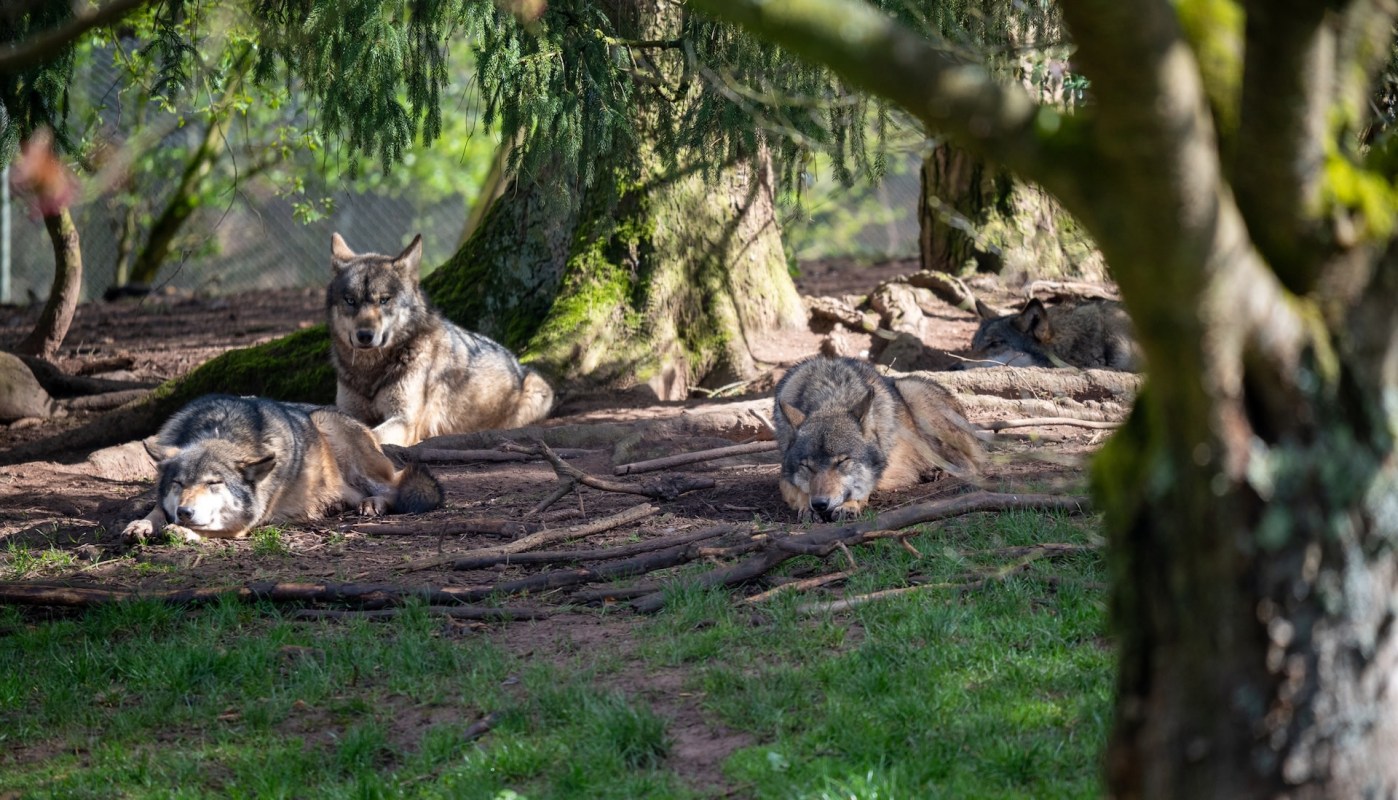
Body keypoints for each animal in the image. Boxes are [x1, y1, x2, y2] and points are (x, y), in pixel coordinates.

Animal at [122, 395, 443, 542]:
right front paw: (141, 524)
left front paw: (181, 530)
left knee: (395, 488)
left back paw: (373, 503)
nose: (185, 512)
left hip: (331, 426)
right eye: (178, 484)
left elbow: (211, 529)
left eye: (214, 483)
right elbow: (156, 509)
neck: (219, 428)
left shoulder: (245, 524)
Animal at [327, 233, 555, 447]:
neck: (369, 371)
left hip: (538, 390)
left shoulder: (404, 420)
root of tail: (516, 361)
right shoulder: (349, 411)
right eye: (350, 300)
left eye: (384, 300)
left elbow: (370, 435)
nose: (365, 336)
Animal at [774, 357, 984, 521]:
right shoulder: (784, 477)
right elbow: (799, 490)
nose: (819, 504)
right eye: (806, 466)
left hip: (920, 404)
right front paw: (807, 507)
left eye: (842, 461)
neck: (830, 397)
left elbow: (861, 486)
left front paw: (848, 506)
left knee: (971, 465)